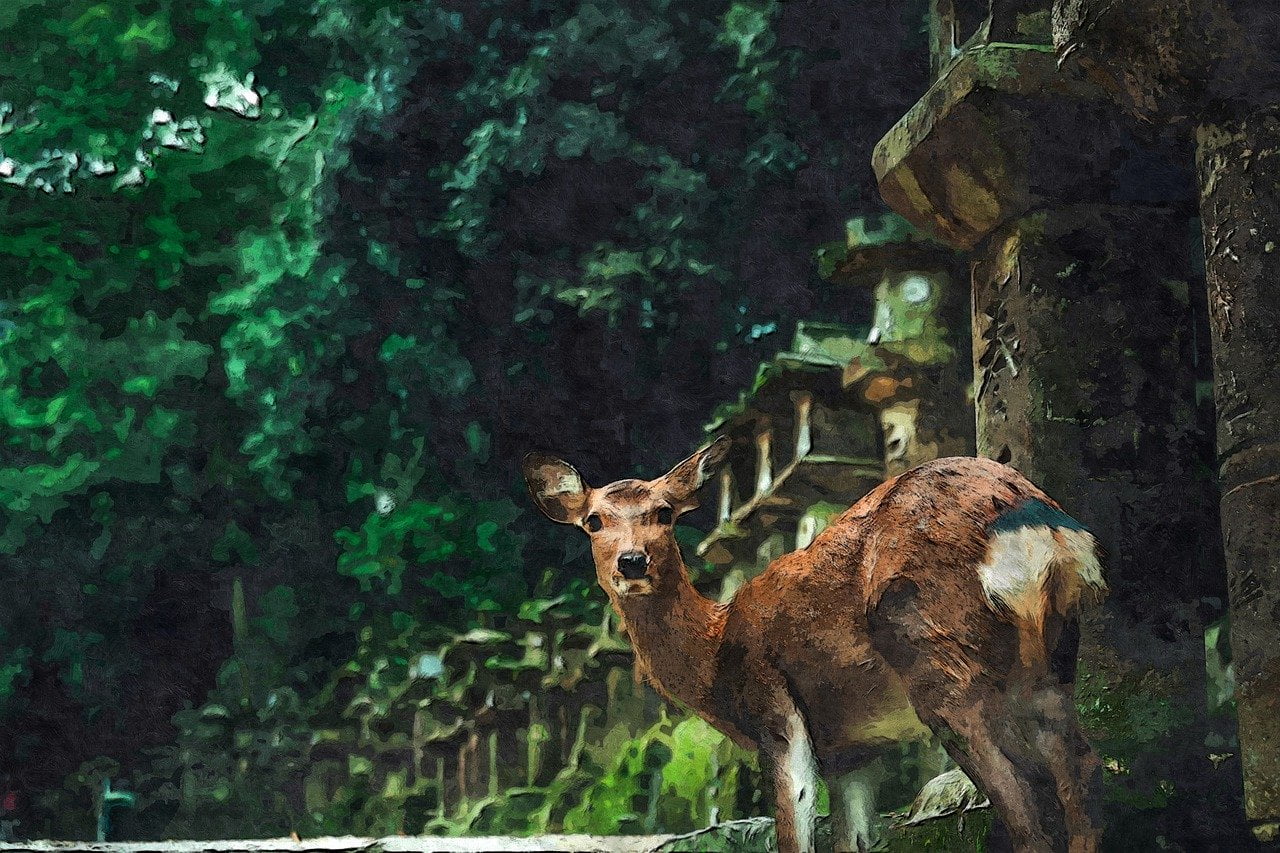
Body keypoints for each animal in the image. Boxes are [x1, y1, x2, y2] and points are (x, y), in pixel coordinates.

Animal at [522, 440, 1108, 853]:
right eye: (593, 520)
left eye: (665, 512)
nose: (632, 561)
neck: (716, 655)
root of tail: (1027, 519)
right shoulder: (852, 748)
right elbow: (853, 838)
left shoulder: (774, 705)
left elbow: (796, 825)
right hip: (1053, 653)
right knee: (1080, 768)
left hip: (935, 650)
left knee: (1021, 799)